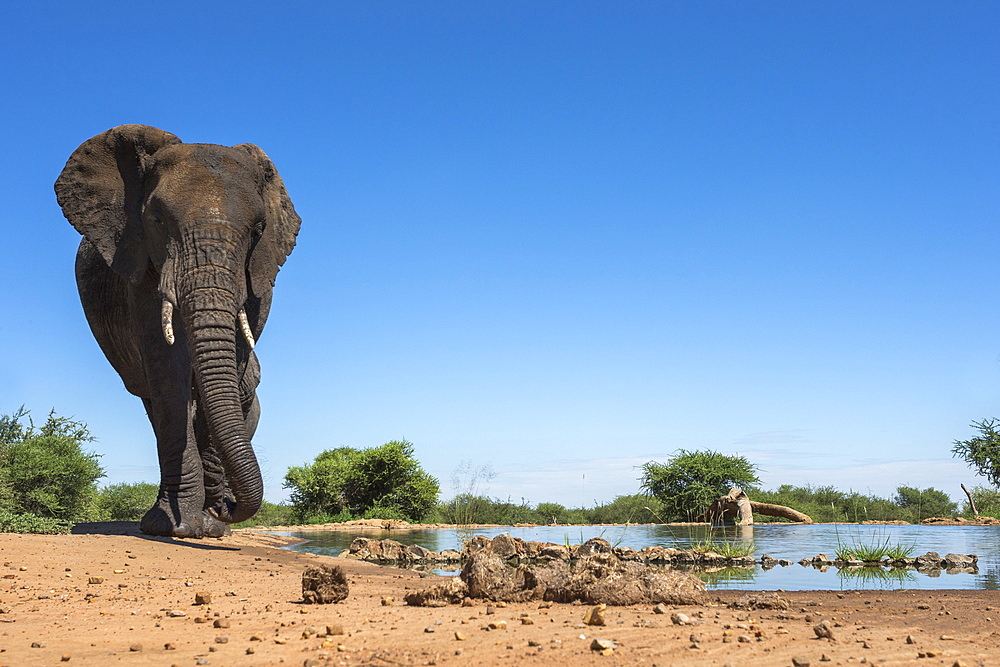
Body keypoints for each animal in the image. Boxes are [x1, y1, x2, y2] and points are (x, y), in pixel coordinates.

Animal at [55, 125, 300, 540]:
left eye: (258, 229)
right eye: (156, 219)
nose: (226, 506)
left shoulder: (259, 276)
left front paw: (209, 527)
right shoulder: (139, 265)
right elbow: (167, 367)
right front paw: (176, 527)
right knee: (154, 402)